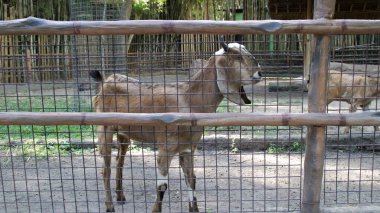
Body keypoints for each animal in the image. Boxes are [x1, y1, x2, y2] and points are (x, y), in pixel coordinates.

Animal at [90, 42, 262, 212]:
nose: (259, 73)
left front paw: (194, 209)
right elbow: (162, 186)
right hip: (104, 129)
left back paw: (120, 196)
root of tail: (105, 81)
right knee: (105, 169)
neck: (189, 99)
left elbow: (191, 179)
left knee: (119, 161)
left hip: (124, 133)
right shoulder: (166, 148)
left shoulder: (188, 147)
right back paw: (110, 206)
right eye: (237, 57)